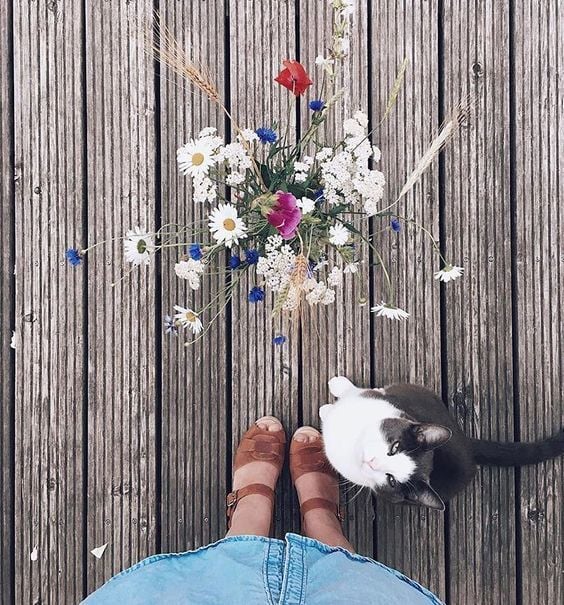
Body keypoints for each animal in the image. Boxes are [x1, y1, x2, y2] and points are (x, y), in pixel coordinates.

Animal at [320, 378, 564, 510]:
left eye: (391, 480)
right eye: (395, 447)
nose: (371, 461)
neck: (352, 440)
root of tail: (467, 445)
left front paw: (325, 410)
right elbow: (356, 392)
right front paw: (338, 386)